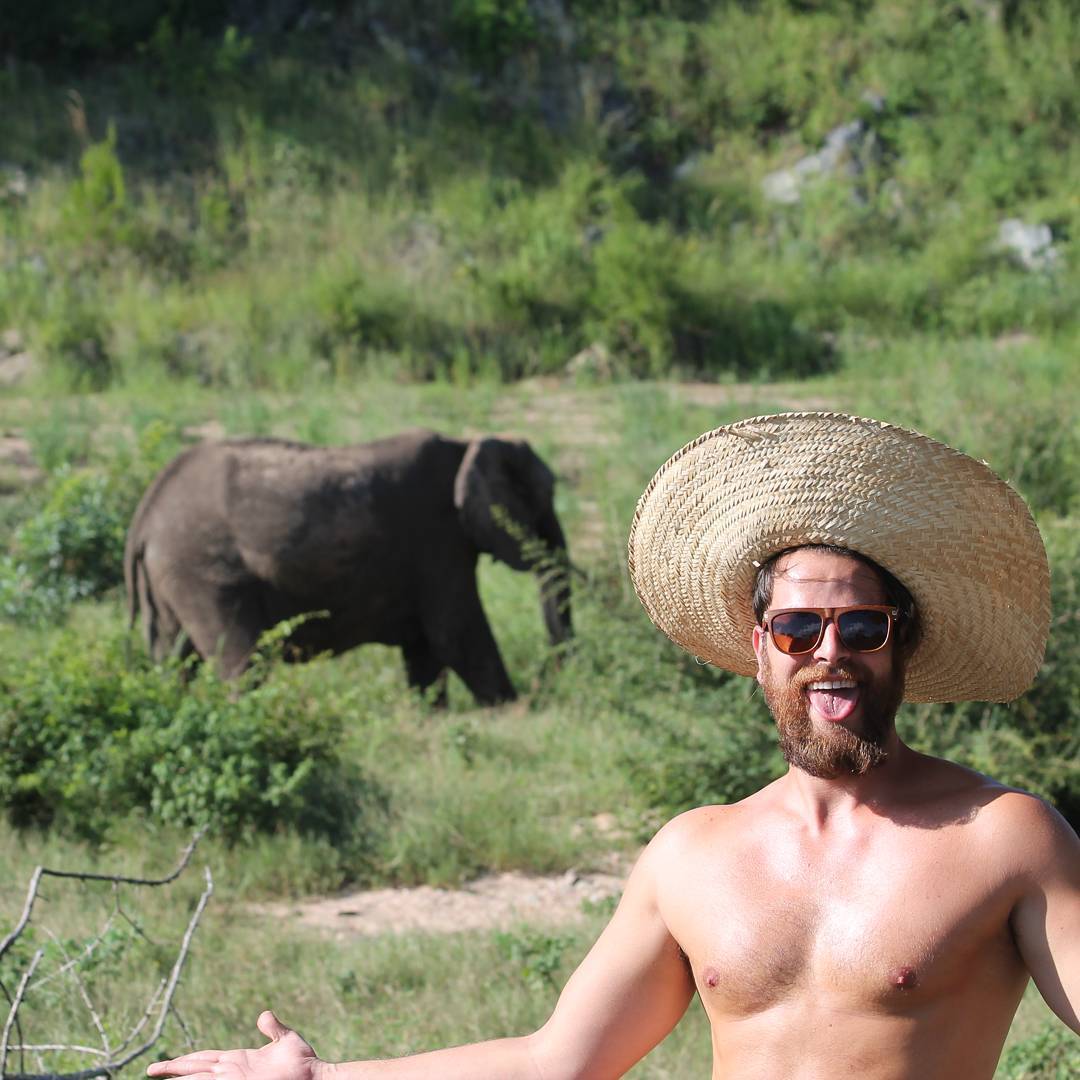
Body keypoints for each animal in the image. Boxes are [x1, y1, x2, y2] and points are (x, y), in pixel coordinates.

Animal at [121, 425, 570, 704]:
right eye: (544, 499)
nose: (545, 684)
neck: (467, 443)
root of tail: (143, 514)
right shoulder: (439, 543)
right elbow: (457, 635)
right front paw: (509, 710)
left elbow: (426, 650)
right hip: (205, 573)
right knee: (243, 664)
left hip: (171, 577)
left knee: (173, 662)